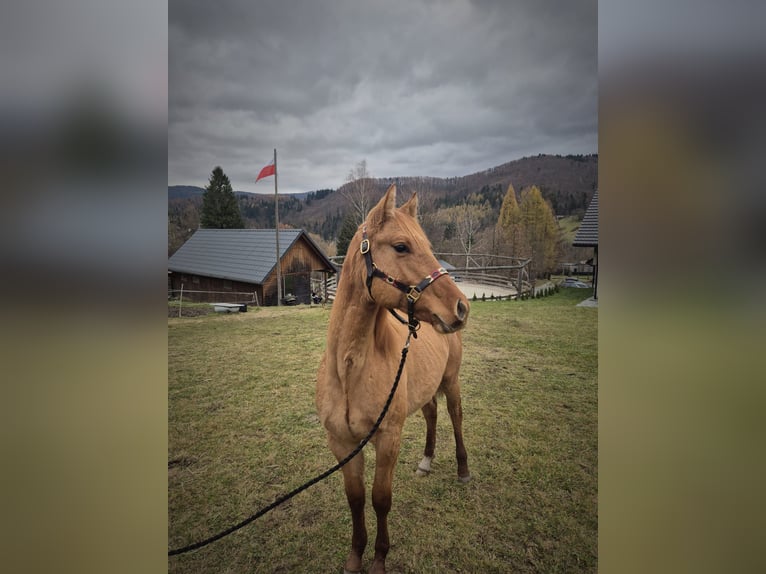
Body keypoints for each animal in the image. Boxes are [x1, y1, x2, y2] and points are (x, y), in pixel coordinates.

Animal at [316, 184, 471, 574]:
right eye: (401, 246)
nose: (462, 307)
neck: (349, 370)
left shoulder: (388, 439)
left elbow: (380, 499)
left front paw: (379, 558)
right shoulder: (342, 443)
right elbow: (355, 499)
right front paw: (356, 555)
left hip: (451, 383)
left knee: (455, 417)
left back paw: (463, 469)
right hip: (426, 390)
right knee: (431, 415)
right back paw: (426, 462)